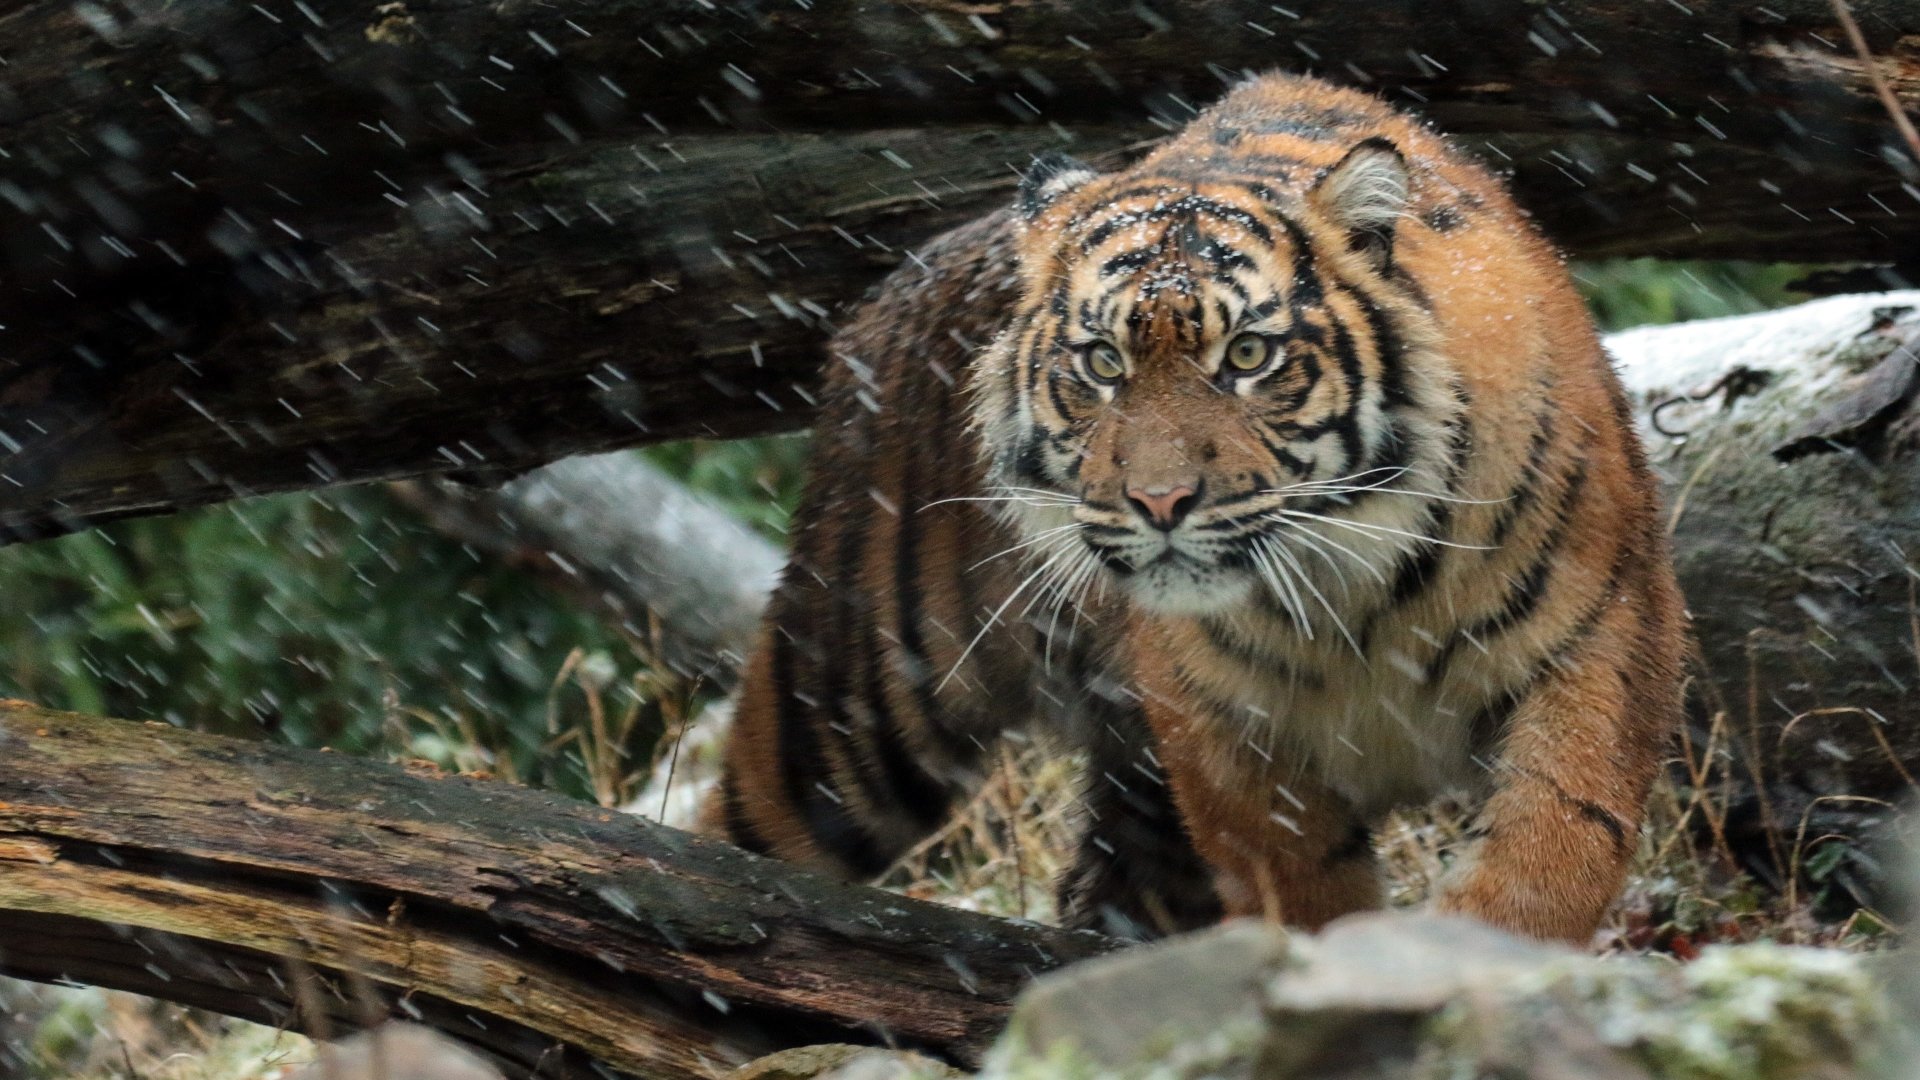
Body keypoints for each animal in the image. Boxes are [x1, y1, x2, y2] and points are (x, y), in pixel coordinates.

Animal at [699, 72, 1686, 945]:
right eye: (1102, 363)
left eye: (1247, 355)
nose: (1160, 500)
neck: (1354, 594)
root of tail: (882, 293)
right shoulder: (1216, 724)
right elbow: (1300, 882)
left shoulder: (1603, 637)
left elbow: (1551, 851)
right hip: (855, 703)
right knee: (737, 837)